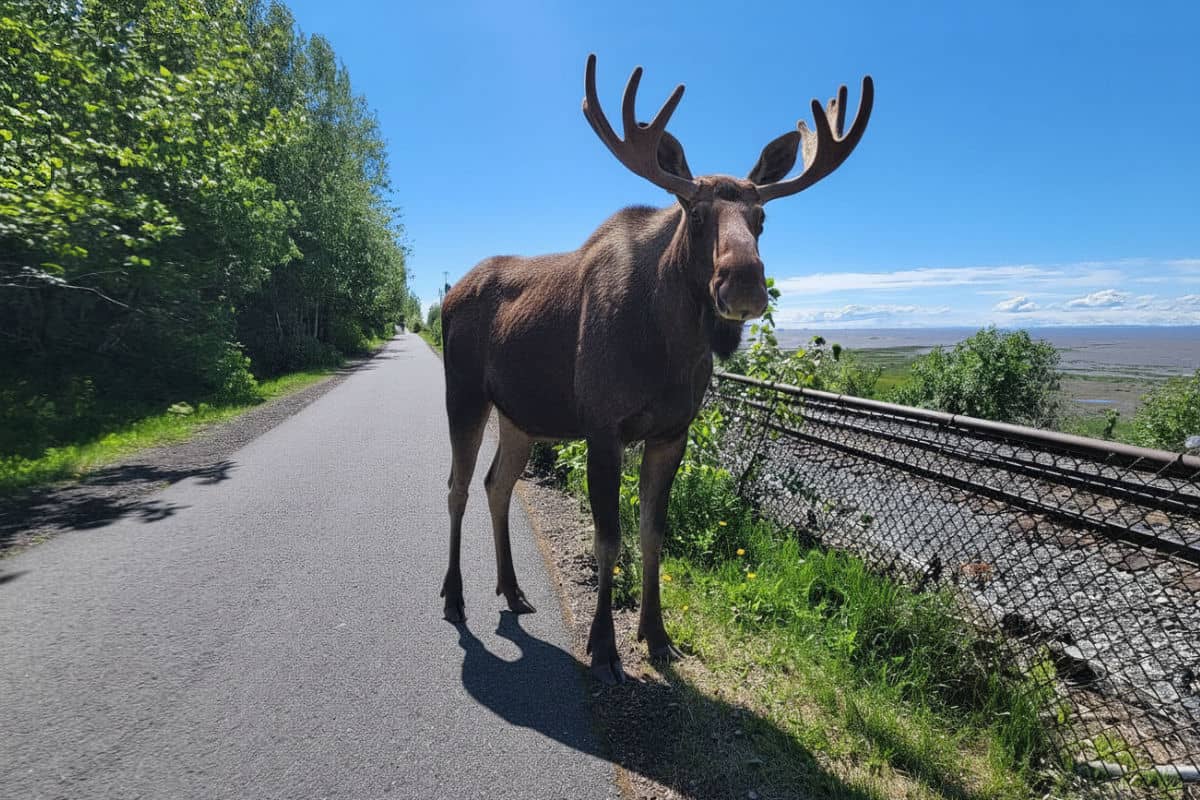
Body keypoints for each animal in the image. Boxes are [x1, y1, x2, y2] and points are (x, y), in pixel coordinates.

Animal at [439, 54, 873, 684]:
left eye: (761, 216)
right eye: (694, 212)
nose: (745, 283)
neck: (670, 351)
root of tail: (447, 298)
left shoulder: (671, 432)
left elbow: (652, 537)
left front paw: (657, 636)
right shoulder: (602, 427)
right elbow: (608, 540)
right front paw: (604, 647)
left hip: (521, 416)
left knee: (499, 484)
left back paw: (512, 589)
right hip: (465, 394)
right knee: (457, 487)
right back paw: (454, 597)